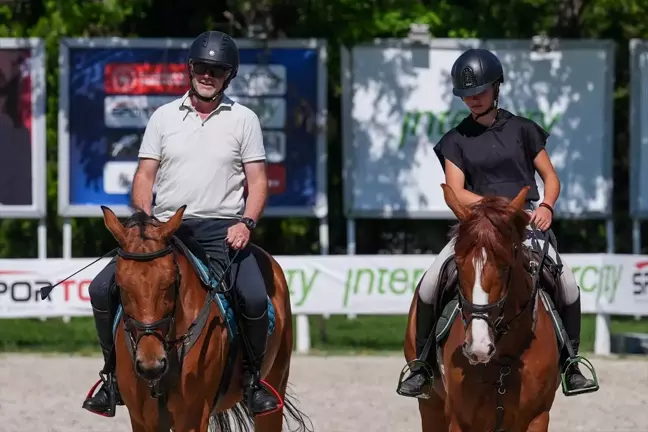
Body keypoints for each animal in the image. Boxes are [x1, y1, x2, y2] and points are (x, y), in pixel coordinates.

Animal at [100, 206, 312, 432]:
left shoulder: (193, 417)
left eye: (171, 282)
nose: (152, 365)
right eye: (121, 285)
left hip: (276, 382)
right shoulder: (142, 420)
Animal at [404, 186, 560, 432]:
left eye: (505, 266)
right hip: (431, 407)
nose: (478, 347)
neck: (504, 358)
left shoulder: (537, 417)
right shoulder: (461, 419)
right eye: (458, 265)